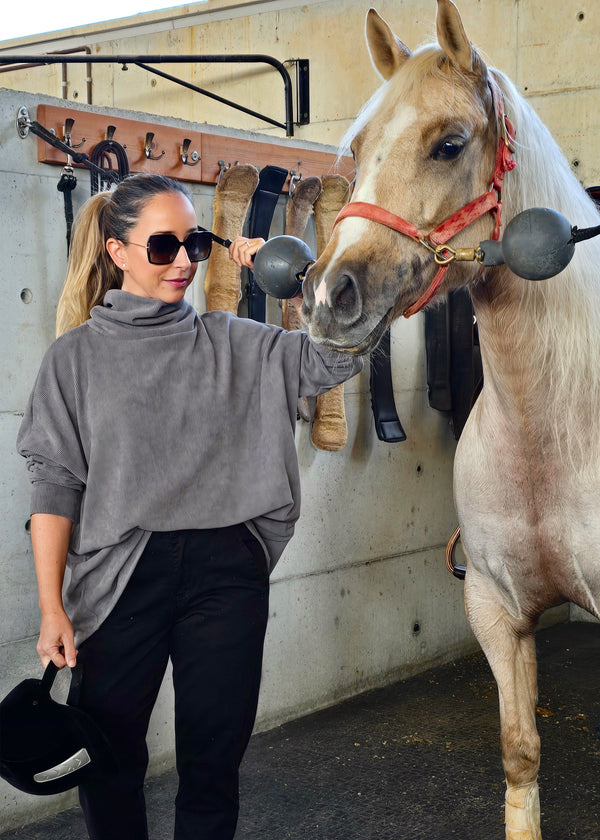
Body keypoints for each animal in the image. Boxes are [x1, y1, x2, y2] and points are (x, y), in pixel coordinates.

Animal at [302, 1, 600, 840]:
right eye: (358, 149)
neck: (554, 426)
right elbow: (520, 753)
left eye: (449, 143)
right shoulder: (494, 609)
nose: (330, 294)